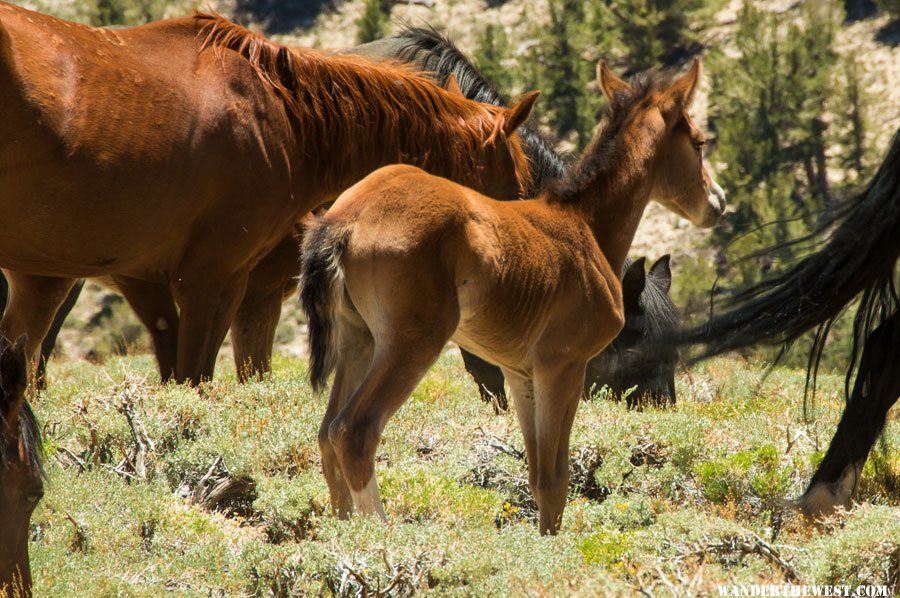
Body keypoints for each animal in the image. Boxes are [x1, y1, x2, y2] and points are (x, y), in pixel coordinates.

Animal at [300, 61, 724, 536]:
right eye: (698, 142)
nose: (717, 202)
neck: (584, 225)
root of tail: (346, 219)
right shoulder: (563, 365)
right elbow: (557, 477)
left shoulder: (520, 373)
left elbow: (537, 474)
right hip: (412, 342)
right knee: (354, 431)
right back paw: (380, 533)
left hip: (358, 338)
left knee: (326, 433)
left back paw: (343, 532)